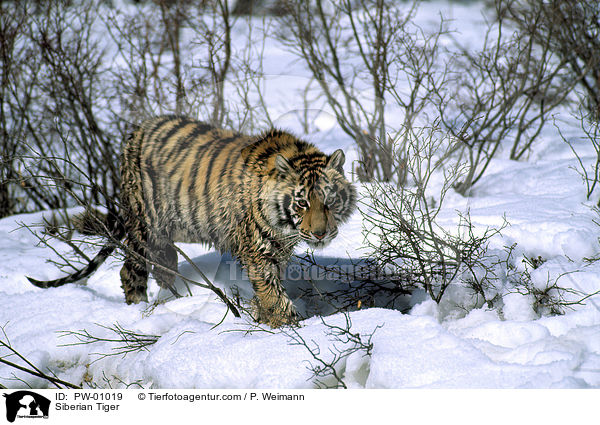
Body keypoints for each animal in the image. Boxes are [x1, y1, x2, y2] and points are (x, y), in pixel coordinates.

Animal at [28, 116, 356, 328]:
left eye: (329, 201)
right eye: (302, 203)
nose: (320, 234)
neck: (286, 228)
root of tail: (136, 132)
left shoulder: (278, 251)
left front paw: (265, 317)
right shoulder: (258, 251)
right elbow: (271, 291)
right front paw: (285, 325)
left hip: (162, 240)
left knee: (164, 268)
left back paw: (172, 298)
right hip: (144, 225)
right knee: (129, 271)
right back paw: (139, 309)